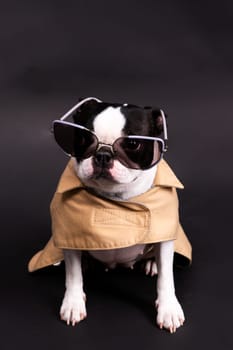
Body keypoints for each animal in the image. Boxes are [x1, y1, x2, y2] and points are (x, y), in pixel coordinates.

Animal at [50, 97, 187, 332]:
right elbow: (73, 274)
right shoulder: (69, 234)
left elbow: (166, 278)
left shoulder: (165, 235)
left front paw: (168, 308)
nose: (103, 155)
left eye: (132, 144)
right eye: (84, 138)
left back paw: (151, 263)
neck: (115, 200)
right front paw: (73, 303)